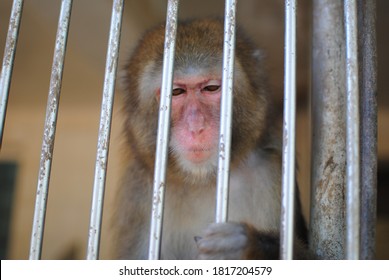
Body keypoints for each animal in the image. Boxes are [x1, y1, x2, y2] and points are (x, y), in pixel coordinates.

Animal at [113, 18, 310, 260]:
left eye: (211, 88)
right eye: (175, 92)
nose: (196, 126)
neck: (203, 179)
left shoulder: (271, 172)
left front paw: (244, 247)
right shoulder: (138, 194)